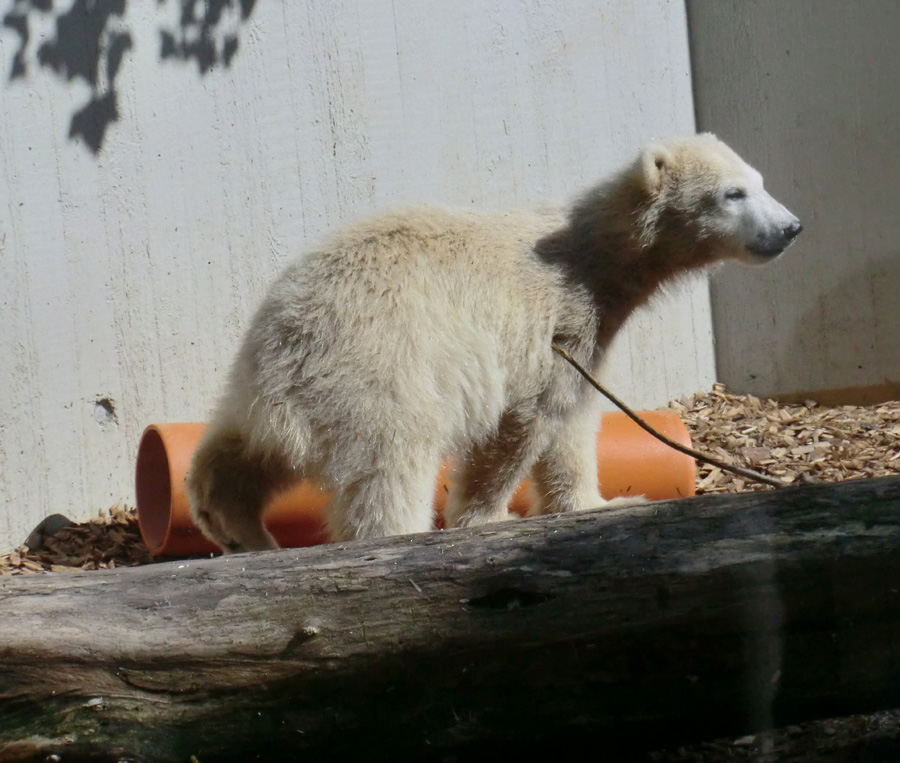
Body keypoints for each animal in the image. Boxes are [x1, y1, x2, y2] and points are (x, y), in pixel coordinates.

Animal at [185, 131, 800, 548]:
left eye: (761, 182)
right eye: (733, 194)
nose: (791, 227)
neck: (594, 256)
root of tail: (288, 343)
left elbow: (572, 426)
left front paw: (602, 501)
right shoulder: (557, 320)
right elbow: (528, 420)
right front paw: (489, 517)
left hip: (275, 386)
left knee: (243, 451)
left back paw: (234, 524)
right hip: (380, 370)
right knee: (391, 465)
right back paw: (393, 535)